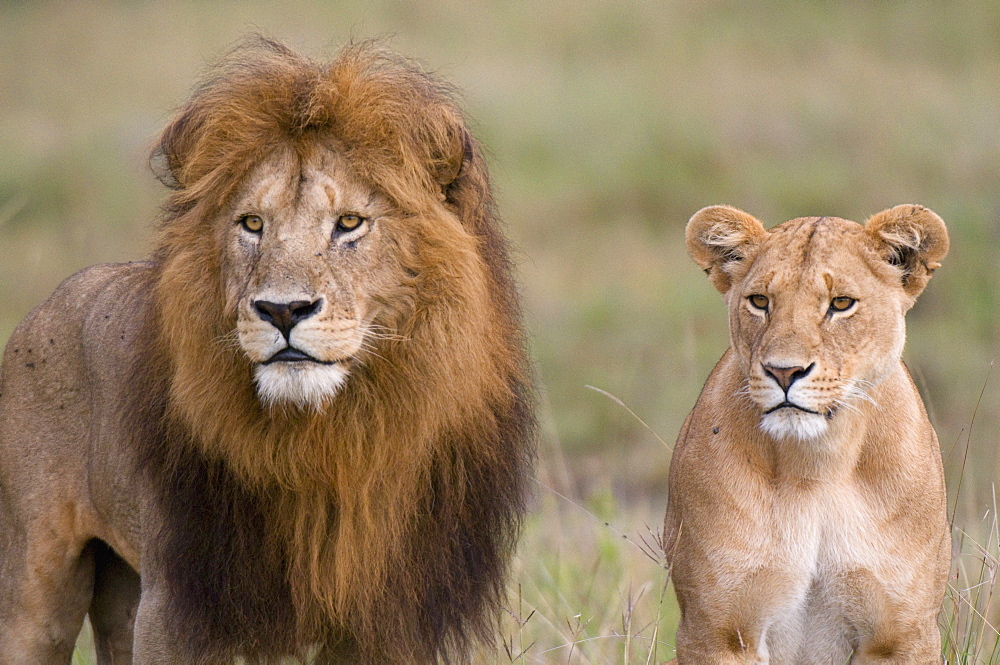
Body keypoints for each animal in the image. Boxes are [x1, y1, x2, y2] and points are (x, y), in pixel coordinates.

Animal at [0, 37, 536, 664]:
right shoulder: (180, 606)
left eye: (349, 222)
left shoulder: (390, 618)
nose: (283, 310)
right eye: (252, 223)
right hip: (34, 589)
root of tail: (51, 301)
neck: (331, 440)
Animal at [664, 205, 952, 660]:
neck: (817, 465)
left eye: (841, 304)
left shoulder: (904, 636)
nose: (784, 371)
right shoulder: (715, 631)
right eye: (760, 301)